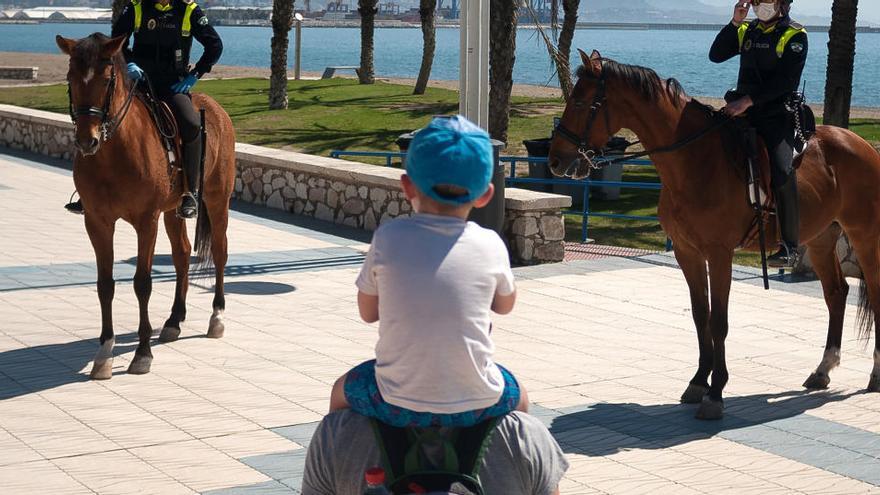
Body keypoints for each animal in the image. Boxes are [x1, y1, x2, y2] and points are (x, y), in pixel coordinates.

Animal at [58, 33, 237, 378]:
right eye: (71, 78)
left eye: (106, 80)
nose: (87, 140)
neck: (113, 153)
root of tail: (215, 108)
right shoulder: (97, 222)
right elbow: (105, 285)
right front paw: (105, 351)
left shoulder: (146, 221)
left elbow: (142, 283)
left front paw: (142, 354)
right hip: (173, 210)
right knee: (182, 254)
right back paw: (174, 320)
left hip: (217, 198)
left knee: (220, 252)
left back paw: (217, 317)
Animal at [552, 50, 880, 420]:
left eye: (580, 102)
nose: (554, 159)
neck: (694, 161)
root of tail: (862, 145)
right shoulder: (687, 252)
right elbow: (701, 317)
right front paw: (698, 381)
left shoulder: (719, 252)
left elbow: (719, 320)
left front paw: (716, 392)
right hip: (821, 239)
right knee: (836, 293)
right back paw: (823, 369)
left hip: (865, 235)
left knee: (875, 292)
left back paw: (875, 373)